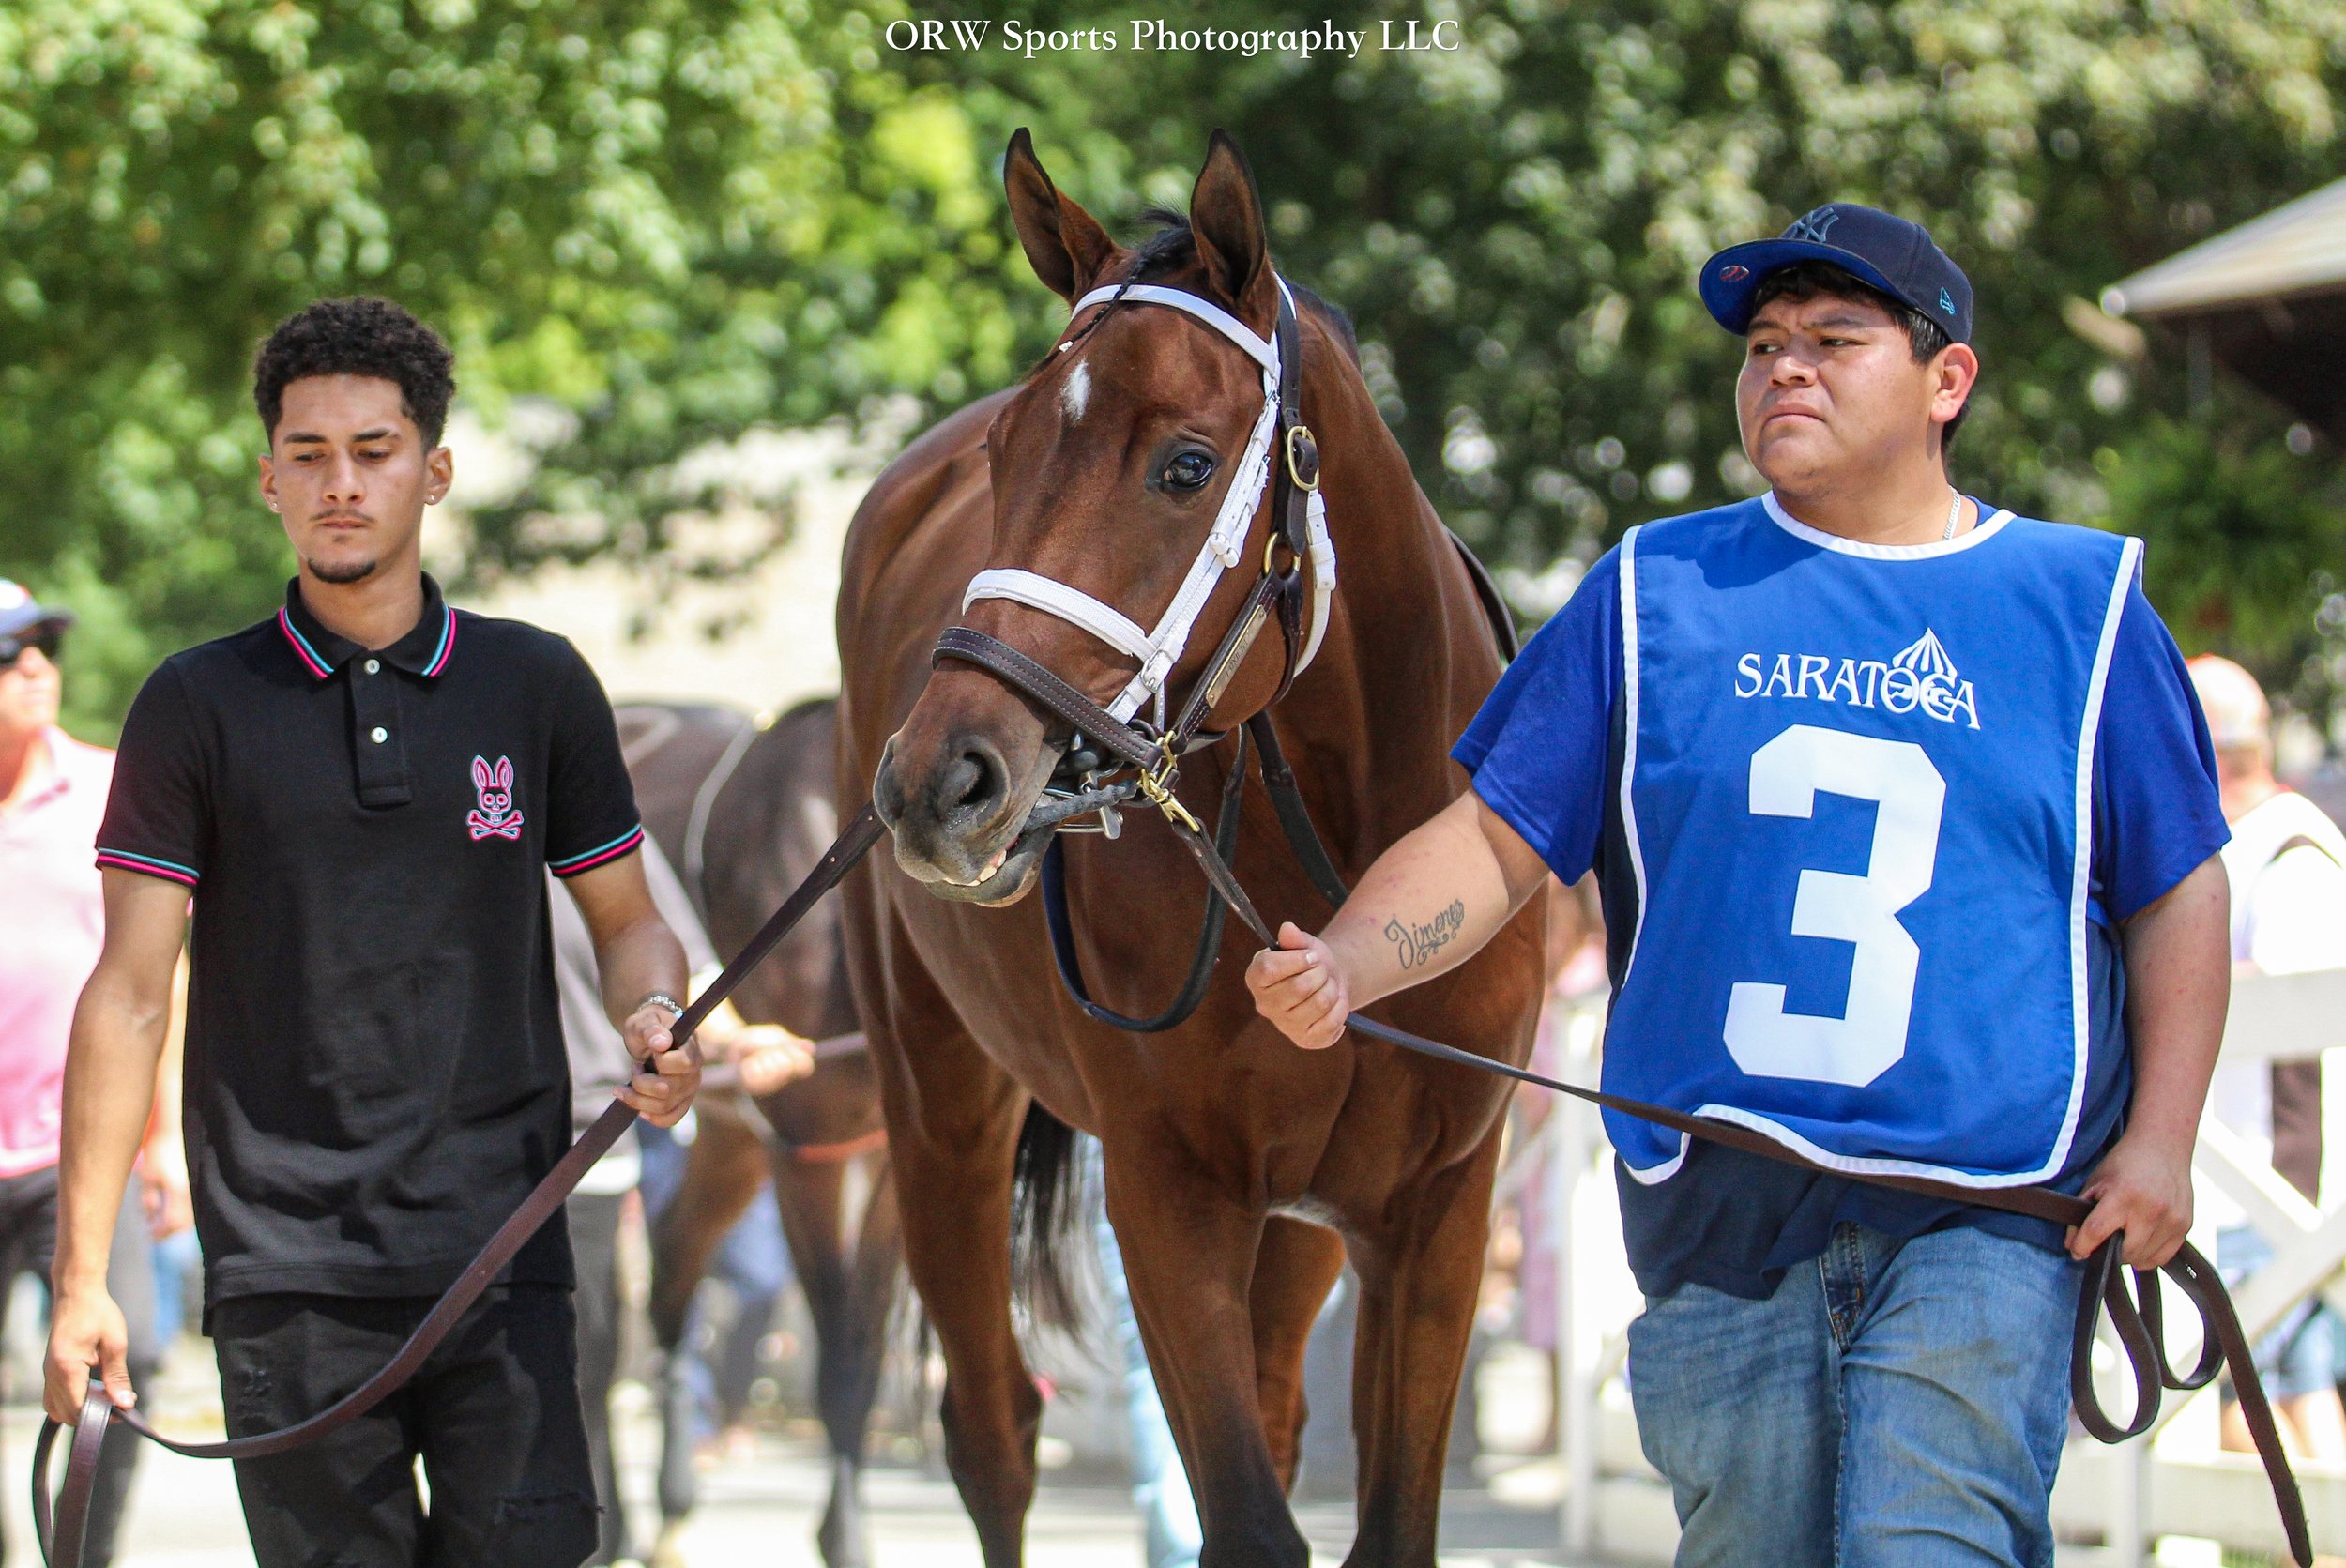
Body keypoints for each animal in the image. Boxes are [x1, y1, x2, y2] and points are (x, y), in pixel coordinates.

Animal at [616, 699, 902, 1568]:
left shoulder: (887, 1155)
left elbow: (863, 1356)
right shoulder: (806, 1150)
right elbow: (838, 1363)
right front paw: (844, 1540)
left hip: (727, 1135)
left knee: (674, 1261)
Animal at [835, 130, 1545, 1567]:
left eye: (1185, 463)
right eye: (1005, 452)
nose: (938, 781)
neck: (1349, 855)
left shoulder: (1434, 1205)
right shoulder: (1172, 1193)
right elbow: (1248, 1521)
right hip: (937, 1110)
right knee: (991, 1431)